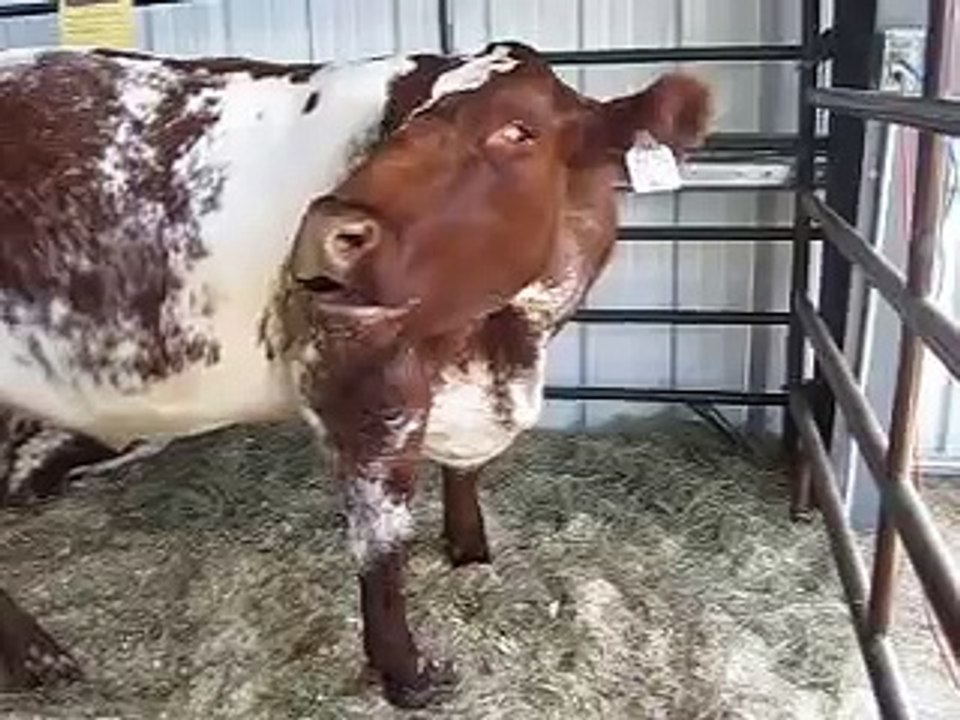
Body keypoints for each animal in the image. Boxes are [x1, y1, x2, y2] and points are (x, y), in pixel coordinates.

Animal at [0, 41, 712, 707]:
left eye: (519, 130)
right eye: (404, 121)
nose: (323, 232)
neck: (505, 340)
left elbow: (464, 475)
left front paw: (470, 551)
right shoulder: (361, 390)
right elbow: (381, 546)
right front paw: (407, 673)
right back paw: (41, 658)